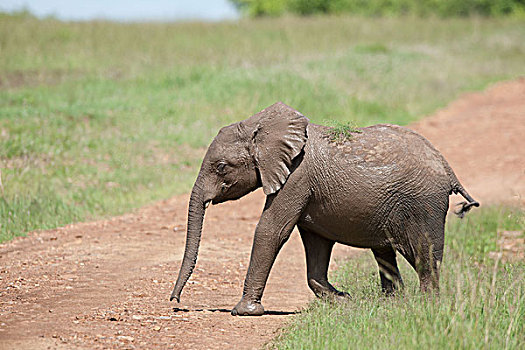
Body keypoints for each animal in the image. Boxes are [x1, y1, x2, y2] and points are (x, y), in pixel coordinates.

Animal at [170, 102, 476, 318]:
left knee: (425, 257)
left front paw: (243, 311)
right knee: (385, 253)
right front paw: (343, 299)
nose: (175, 302)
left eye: (221, 167)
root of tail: (446, 166)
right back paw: (392, 302)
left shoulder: (296, 177)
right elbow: (316, 242)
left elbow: (272, 231)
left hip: (424, 205)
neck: (260, 125)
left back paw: (426, 305)